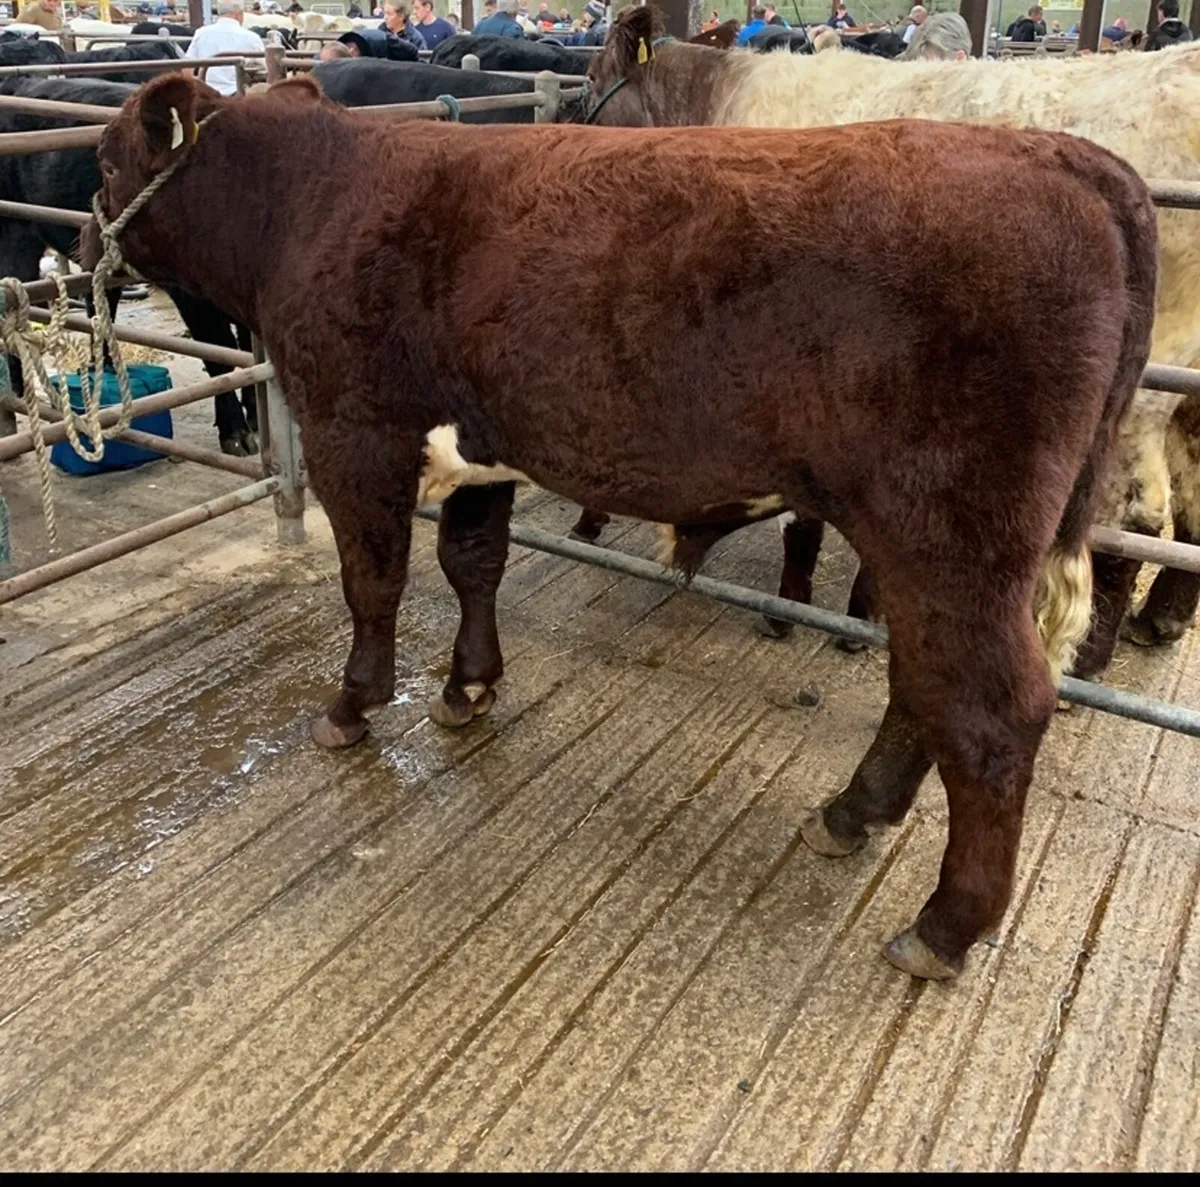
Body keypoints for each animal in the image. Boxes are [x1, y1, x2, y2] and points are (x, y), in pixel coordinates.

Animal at [85, 73, 1156, 982]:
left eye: (102, 159)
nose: (85, 242)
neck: (311, 200)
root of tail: (1068, 158)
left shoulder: (354, 435)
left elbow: (373, 582)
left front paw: (352, 706)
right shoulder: (484, 448)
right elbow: (472, 563)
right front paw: (469, 687)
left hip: (954, 534)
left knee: (987, 707)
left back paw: (941, 926)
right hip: (929, 547)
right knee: (921, 683)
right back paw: (852, 812)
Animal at [581, 5, 1200, 680]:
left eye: (589, 80)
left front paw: (792, 608)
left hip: (1142, 391)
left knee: (1139, 515)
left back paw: (1089, 658)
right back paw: (1159, 620)